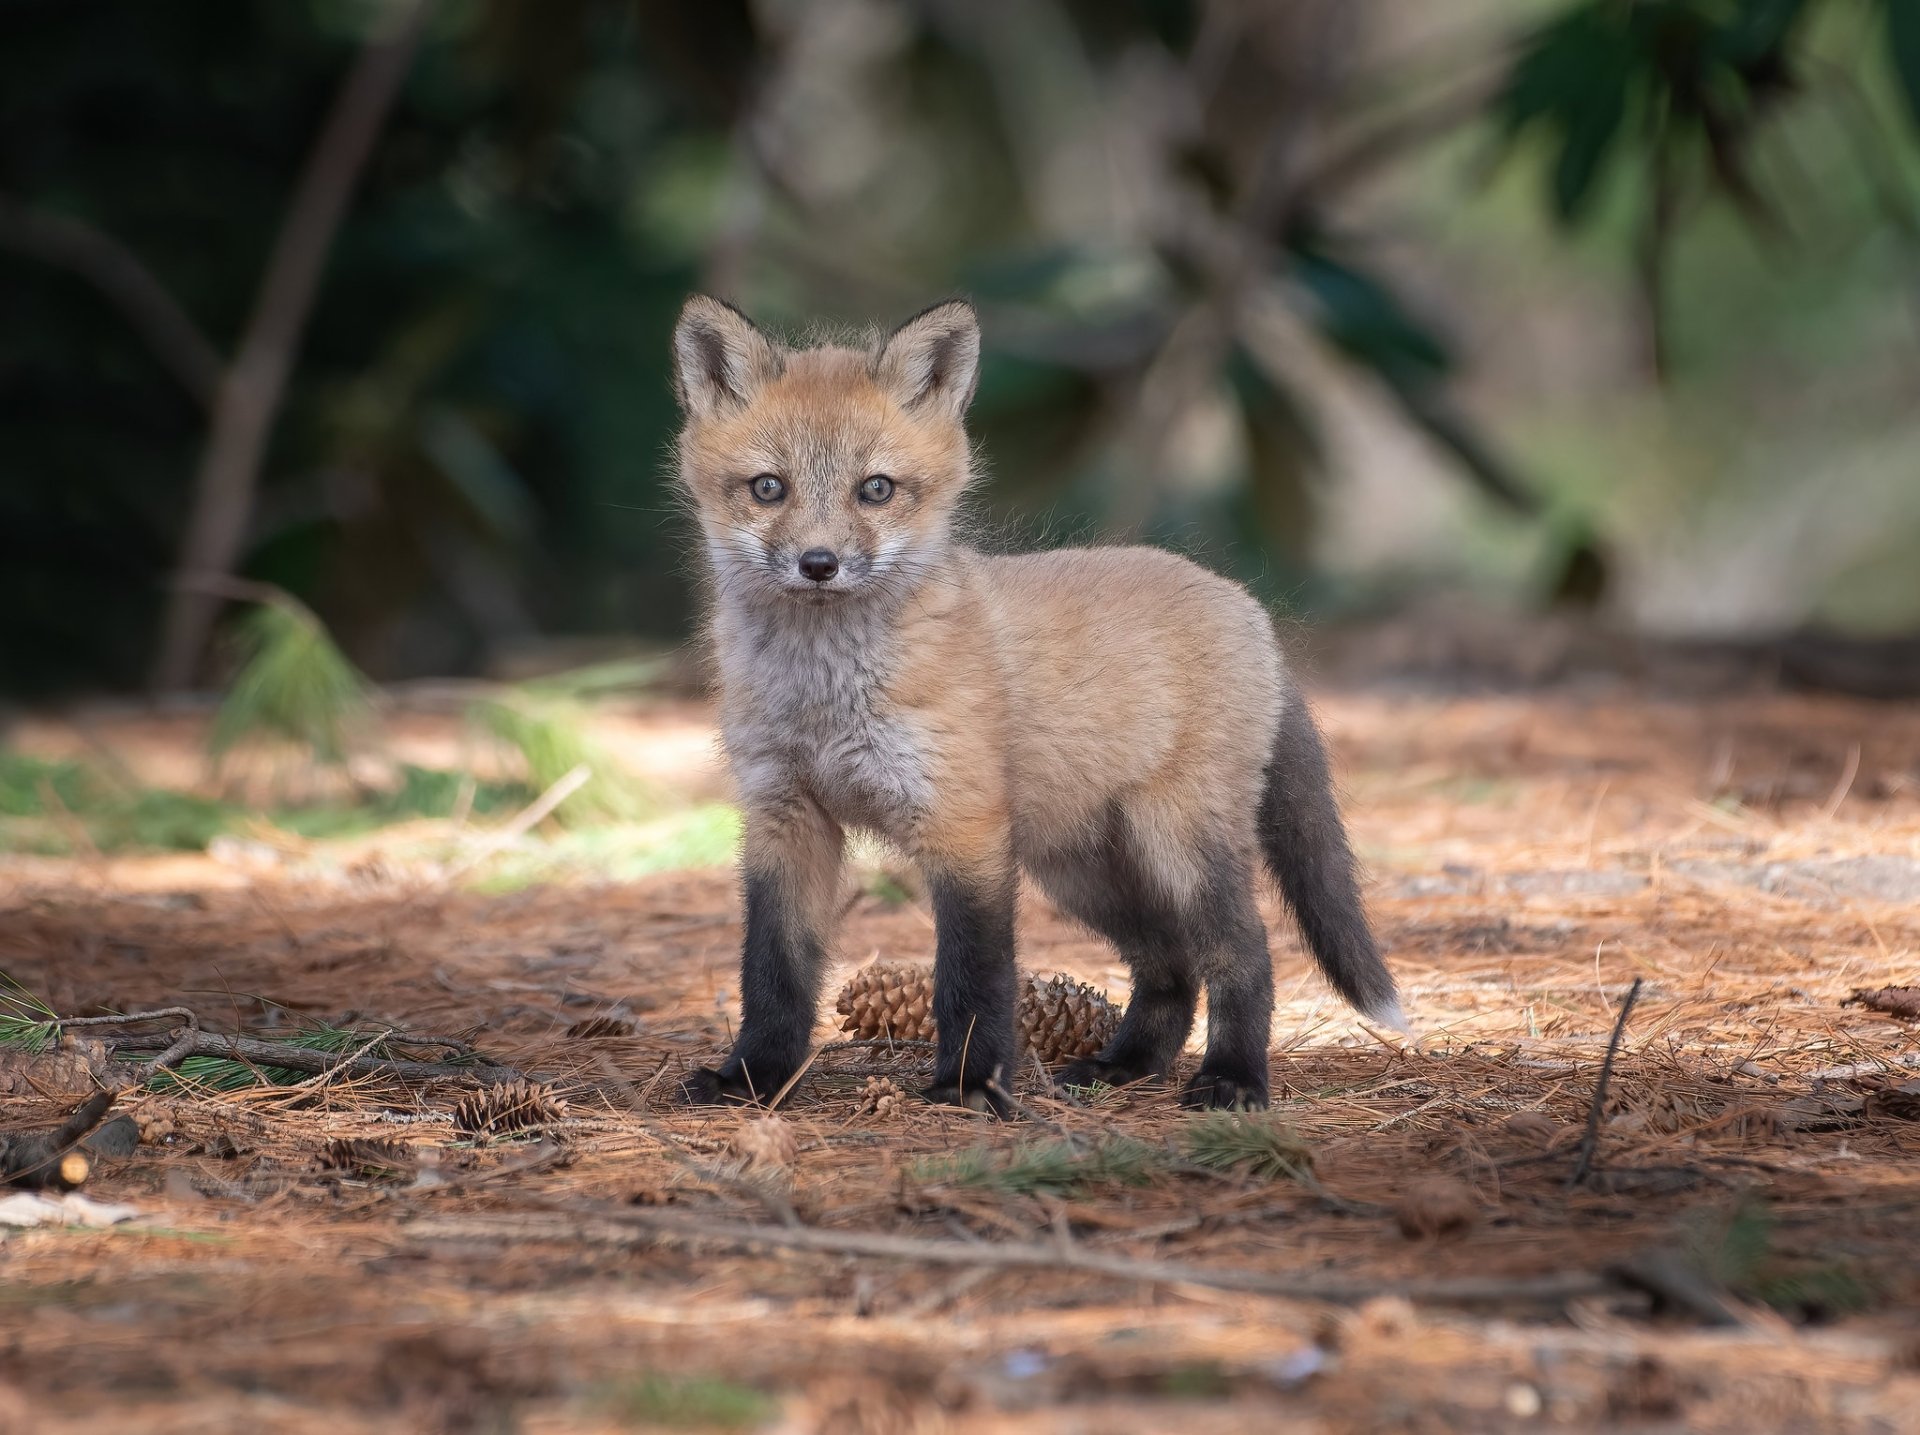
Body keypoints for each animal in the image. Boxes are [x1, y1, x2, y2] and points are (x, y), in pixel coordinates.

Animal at [670, 294, 1401, 1114]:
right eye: (769, 487)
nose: (819, 564)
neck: (825, 696)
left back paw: (1233, 1077)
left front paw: (969, 1085)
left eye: (876, 489)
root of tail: (1245, 604)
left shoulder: (965, 828)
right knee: (1171, 966)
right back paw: (1125, 1065)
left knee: (1245, 952)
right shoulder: (785, 819)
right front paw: (752, 1079)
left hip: (1176, 846)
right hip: (1085, 869)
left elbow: (973, 975)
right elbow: (773, 974)